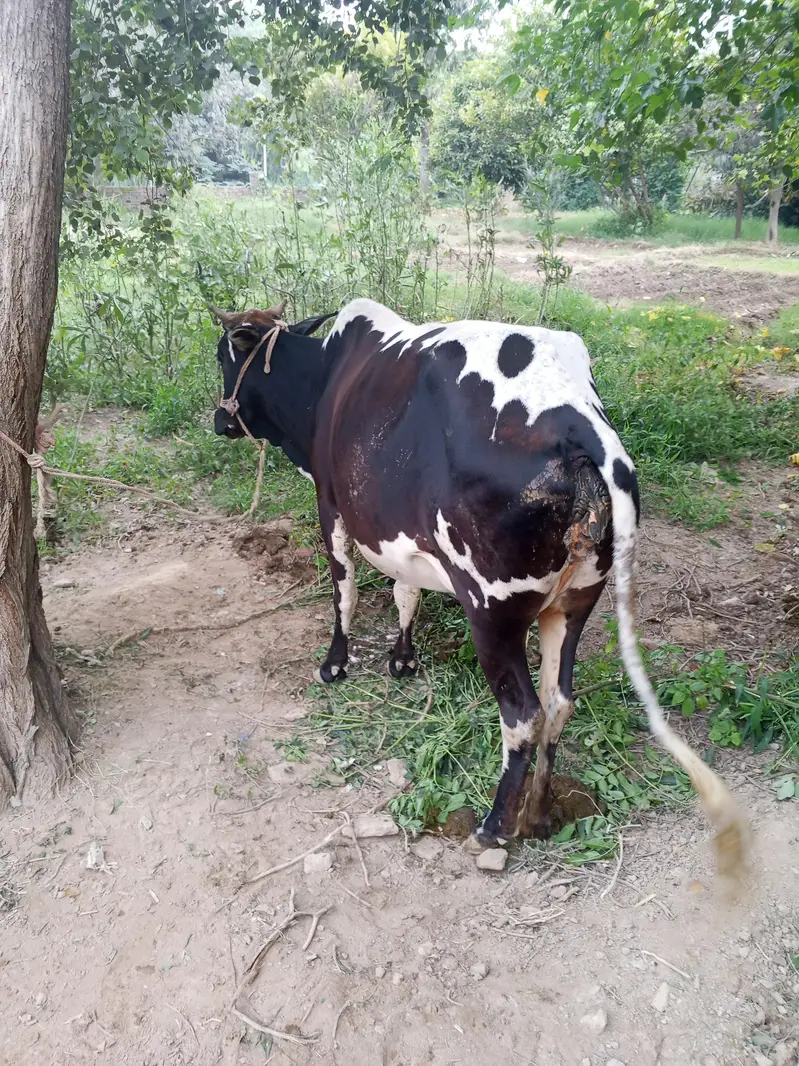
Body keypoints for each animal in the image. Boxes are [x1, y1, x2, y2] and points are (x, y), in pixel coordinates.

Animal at [209, 297, 745, 875]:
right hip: (574, 603)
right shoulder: (400, 532)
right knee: (559, 701)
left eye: (221, 356)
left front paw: (335, 663)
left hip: (492, 610)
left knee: (524, 715)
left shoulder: (332, 506)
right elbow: (405, 590)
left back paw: (494, 827)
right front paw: (403, 658)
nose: (219, 419)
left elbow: (344, 590)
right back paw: (537, 815)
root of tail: (584, 432)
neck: (324, 382)